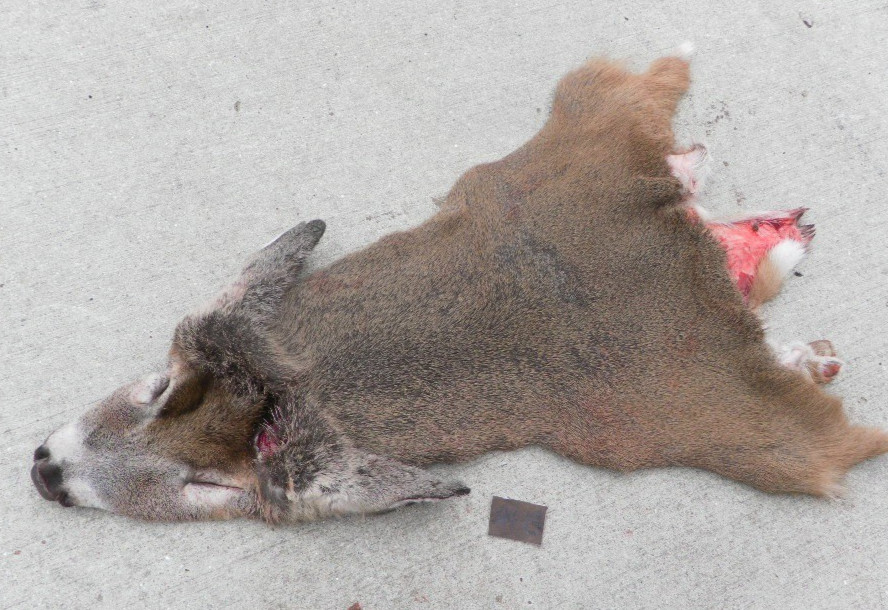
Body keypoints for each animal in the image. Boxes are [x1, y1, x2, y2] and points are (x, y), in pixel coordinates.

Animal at [30, 47, 888, 523]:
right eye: (156, 386)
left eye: (204, 489)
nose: (42, 471)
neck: (310, 380)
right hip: (547, 156)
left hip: (717, 435)